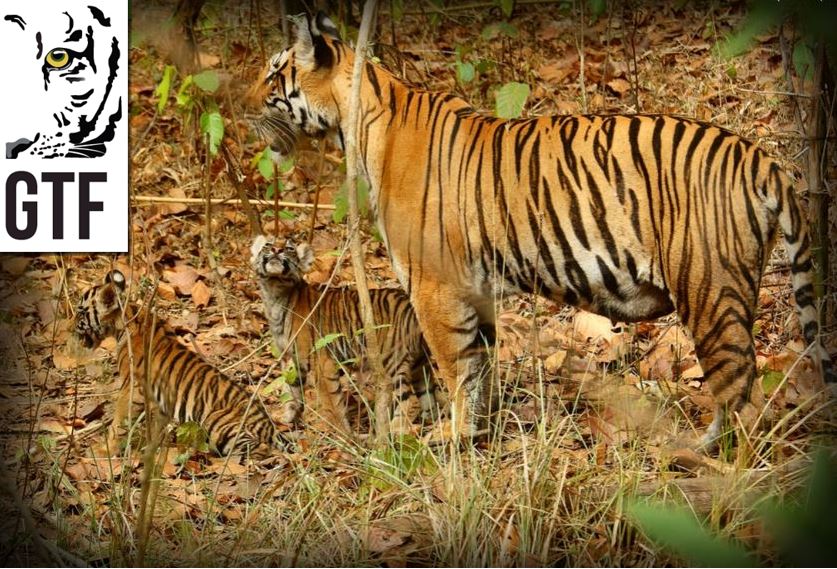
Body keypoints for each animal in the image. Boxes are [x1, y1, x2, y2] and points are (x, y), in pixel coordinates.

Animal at [247, 14, 828, 448]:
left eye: (274, 75)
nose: (241, 104)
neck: (358, 119)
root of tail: (759, 157)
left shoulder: (433, 288)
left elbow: (455, 370)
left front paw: (450, 444)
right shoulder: (473, 290)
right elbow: (478, 369)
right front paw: (476, 436)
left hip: (711, 291)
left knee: (741, 393)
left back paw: (708, 459)